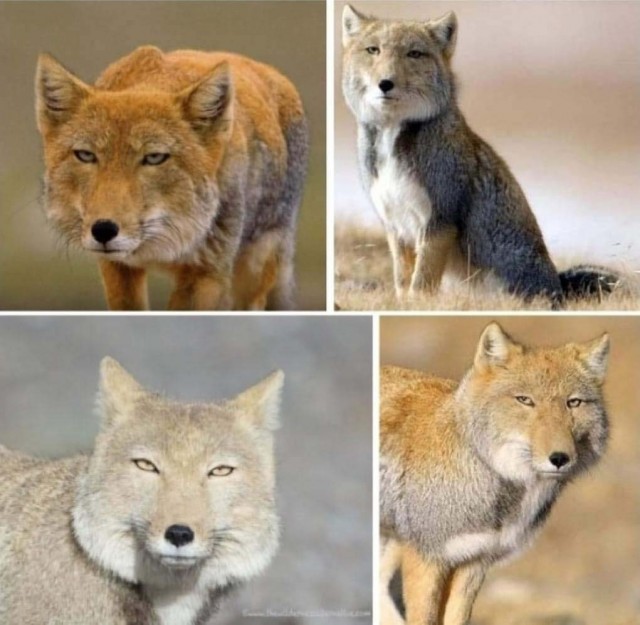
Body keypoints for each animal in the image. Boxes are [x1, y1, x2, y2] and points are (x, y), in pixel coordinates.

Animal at [35, 46, 308, 310]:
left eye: (155, 157)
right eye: (86, 155)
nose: (103, 230)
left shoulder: (202, 274)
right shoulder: (117, 266)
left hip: (250, 278)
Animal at [341, 5, 618, 306]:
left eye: (414, 53)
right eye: (373, 50)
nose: (385, 83)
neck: (393, 138)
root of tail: (557, 286)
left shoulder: (439, 219)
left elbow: (421, 282)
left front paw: (417, 304)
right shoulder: (396, 225)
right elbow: (403, 281)